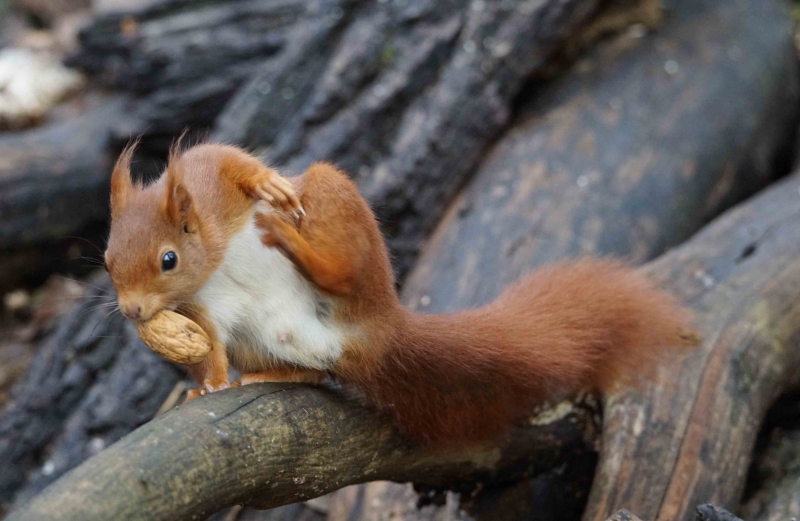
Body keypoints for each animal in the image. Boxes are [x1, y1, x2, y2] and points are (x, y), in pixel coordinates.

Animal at [104, 141, 692, 442]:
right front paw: (206, 387)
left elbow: (233, 160)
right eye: (107, 261)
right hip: (270, 340)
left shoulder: (208, 172)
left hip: (342, 216)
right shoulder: (203, 310)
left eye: (167, 260)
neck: (211, 252)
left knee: (343, 270)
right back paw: (270, 375)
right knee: (315, 372)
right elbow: (209, 347)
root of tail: (384, 327)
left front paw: (269, 184)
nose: (132, 311)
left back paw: (296, 243)